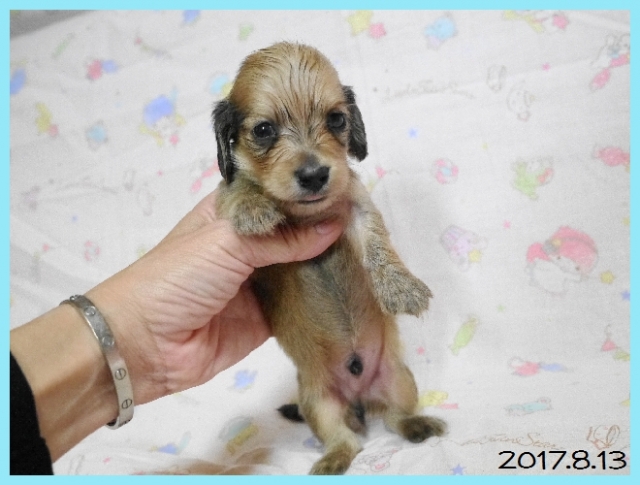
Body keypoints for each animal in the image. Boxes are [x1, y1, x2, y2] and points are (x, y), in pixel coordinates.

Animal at [212, 42, 446, 475]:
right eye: (263, 130)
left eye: (336, 119)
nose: (315, 175)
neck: (309, 215)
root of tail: (357, 399)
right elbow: (235, 186)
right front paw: (252, 205)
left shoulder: (356, 205)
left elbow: (377, 245)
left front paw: (401, 287)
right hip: (317, 401)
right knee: (343, 438)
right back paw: (332, 460)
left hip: (398, 378)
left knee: (395, 417)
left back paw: (417, 424)